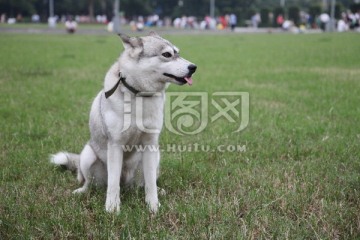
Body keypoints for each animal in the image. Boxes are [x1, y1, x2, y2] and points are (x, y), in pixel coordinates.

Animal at [50, 32, 197, 214]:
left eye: (177, 52)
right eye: (167, 54)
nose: (193, 67)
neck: (139, 95)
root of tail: (126, 182)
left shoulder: (150, 144)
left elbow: (150, 183)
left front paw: (153, 205)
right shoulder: (115, 144)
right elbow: (113, 184)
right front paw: (112, 207)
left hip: (155, 157)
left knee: (143, 183)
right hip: (88, 156)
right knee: (90, 182)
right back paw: (82, 191)